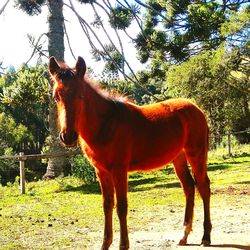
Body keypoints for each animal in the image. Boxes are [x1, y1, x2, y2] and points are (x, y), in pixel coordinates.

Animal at [48, 55, 211, 249]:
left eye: (81, 95)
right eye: (56, 97)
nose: (68, 136)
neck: (106, 124)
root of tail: (196, 107)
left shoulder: (119, 170)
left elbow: (121, 206)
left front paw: (123, 244)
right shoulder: (101, 172)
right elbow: (107, 205)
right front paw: (105, 243)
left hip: (196, 154)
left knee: (204, 187)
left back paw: (206, 236)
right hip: (178, 158)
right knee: (189, 187)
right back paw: (184, 235)